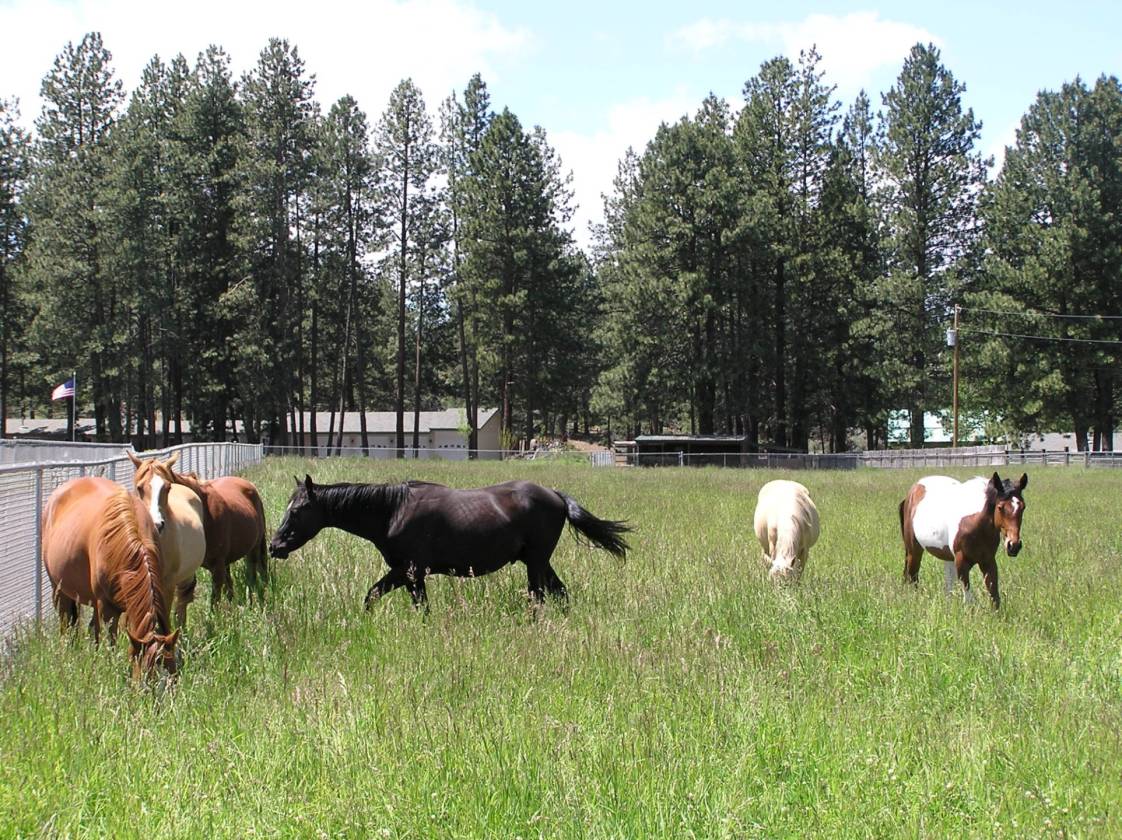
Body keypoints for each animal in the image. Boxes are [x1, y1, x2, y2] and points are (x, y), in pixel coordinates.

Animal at [40, 476, 179, 679]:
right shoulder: (106, 607)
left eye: (173, 675)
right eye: (144, 678)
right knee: (67, 625)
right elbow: (109, 641)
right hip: (58, 590)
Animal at [127, 451, 207, 628]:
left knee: (181, 604)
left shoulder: (167, 584)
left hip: (185, 577)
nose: (156, 524)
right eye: (139, 488)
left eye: (167, 488)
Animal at [269, 475, 631, 608]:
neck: (392, 511)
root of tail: (555, 495)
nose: (275, 546)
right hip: (538, 562)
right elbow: (374, 597)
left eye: (297, 511)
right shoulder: (408, 575)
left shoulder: (411, 572)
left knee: (539, 598)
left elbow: (398, 602)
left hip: (536, 564)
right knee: (560, 594)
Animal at [899, 472, 1028, 608]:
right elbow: (968, 598)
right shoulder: (961, 562)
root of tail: (912, 491)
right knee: (913, 577)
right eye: (1000, 507)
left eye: (1023, 507)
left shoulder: (988, 561)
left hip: (948, 558)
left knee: (948, 586)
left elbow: (994, 597)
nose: (1014, 546)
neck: (975, 523)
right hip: (914, 551)